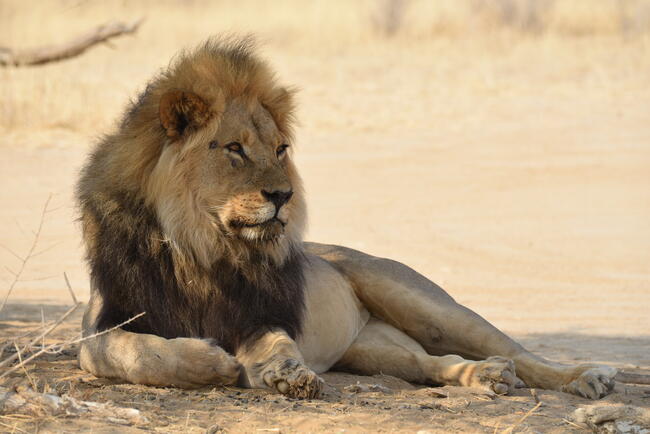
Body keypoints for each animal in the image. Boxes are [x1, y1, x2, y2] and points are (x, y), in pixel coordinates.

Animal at [73, 37, 616, 400]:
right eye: (234, 149)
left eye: (280, 149)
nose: (284, 195)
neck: (200, 245)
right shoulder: (99, 328)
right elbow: (139, 352)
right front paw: (210, 362)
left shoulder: (260, 312)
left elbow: (275, 343)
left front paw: (285, 372)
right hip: (372, 350)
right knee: (430, 362)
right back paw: (485, 376)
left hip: (424, 303)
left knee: (514, 350)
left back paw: (584, 378)